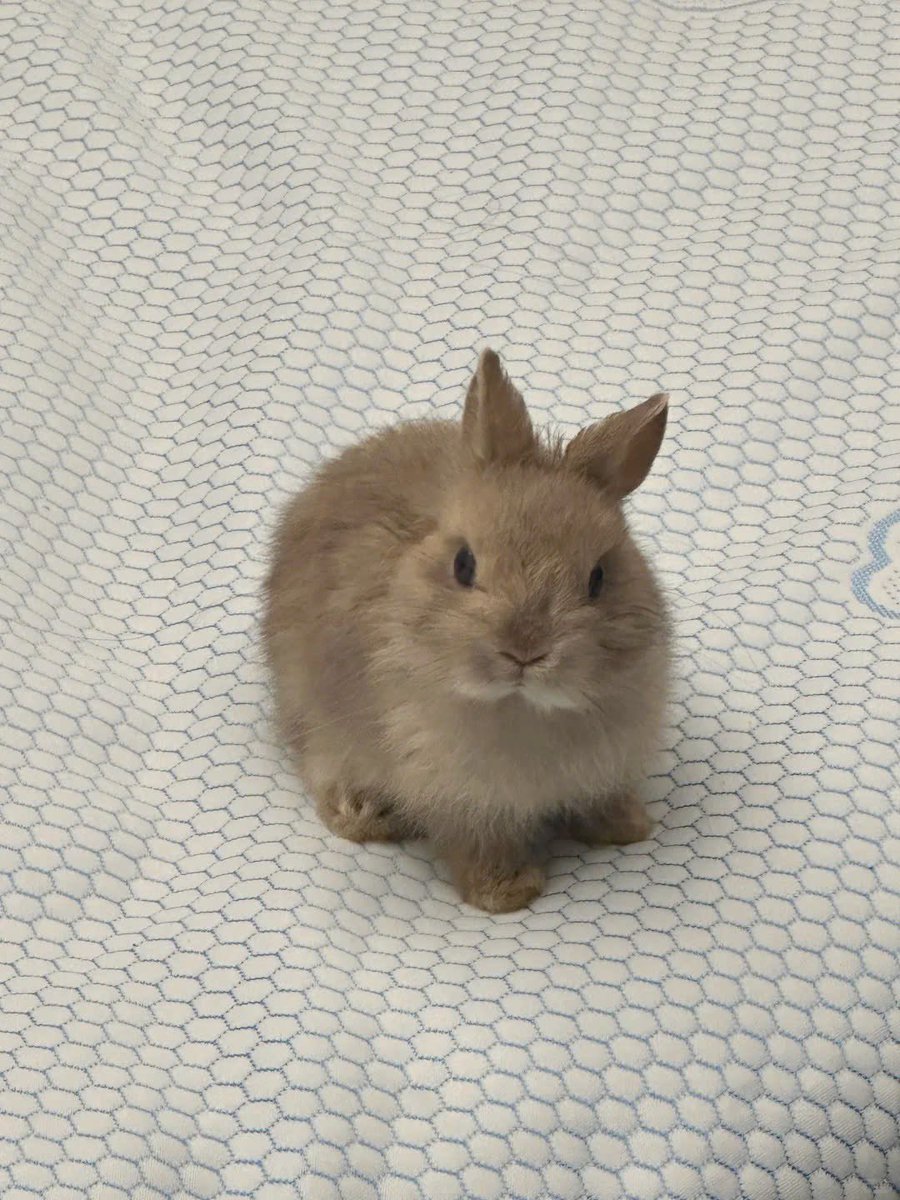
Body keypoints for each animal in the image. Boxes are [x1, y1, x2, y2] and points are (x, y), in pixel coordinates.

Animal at [263, 349, 671, 912]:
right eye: (463, 564)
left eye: (599, 578)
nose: (525, 650)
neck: (524, 708)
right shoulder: (463, 798)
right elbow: (480, 844)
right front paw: (506, 894)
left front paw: (629, 828)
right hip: (311, 708)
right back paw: (363, 815)